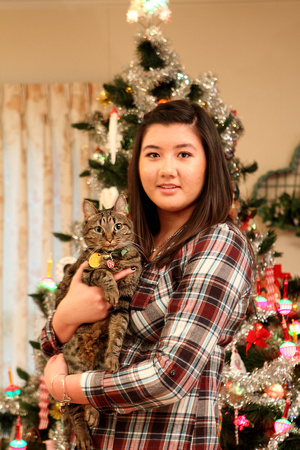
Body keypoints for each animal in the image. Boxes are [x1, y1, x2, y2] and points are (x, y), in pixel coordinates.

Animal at [54, 196, 142, 450]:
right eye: (99, 229)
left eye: (118, 226)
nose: (110, 238)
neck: (116, 259)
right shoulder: (84, 274)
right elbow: (103, 274)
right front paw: (110, 288)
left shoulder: (126, 300)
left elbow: (118, 332)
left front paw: (114, 358)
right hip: (74, 365)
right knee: (76, 405)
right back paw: (84, 434)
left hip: (93, 362)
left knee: (89, 388)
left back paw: (93, 413)